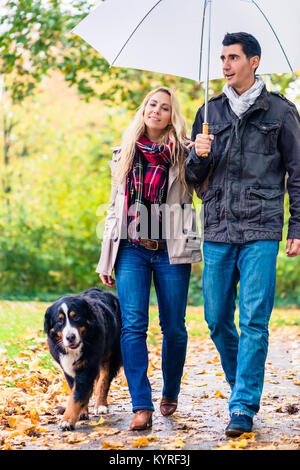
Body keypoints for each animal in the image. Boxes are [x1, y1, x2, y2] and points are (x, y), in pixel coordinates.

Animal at [43, 284, 122, 432]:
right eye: (59, 321)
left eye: (76, 317)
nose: (70, 337)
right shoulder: (68, 369)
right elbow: (76, 390)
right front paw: (82, 412)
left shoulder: (87, 367)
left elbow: (77, 395)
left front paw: (67, 420)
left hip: (111, 355)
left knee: (103, 381)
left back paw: (101, 405)